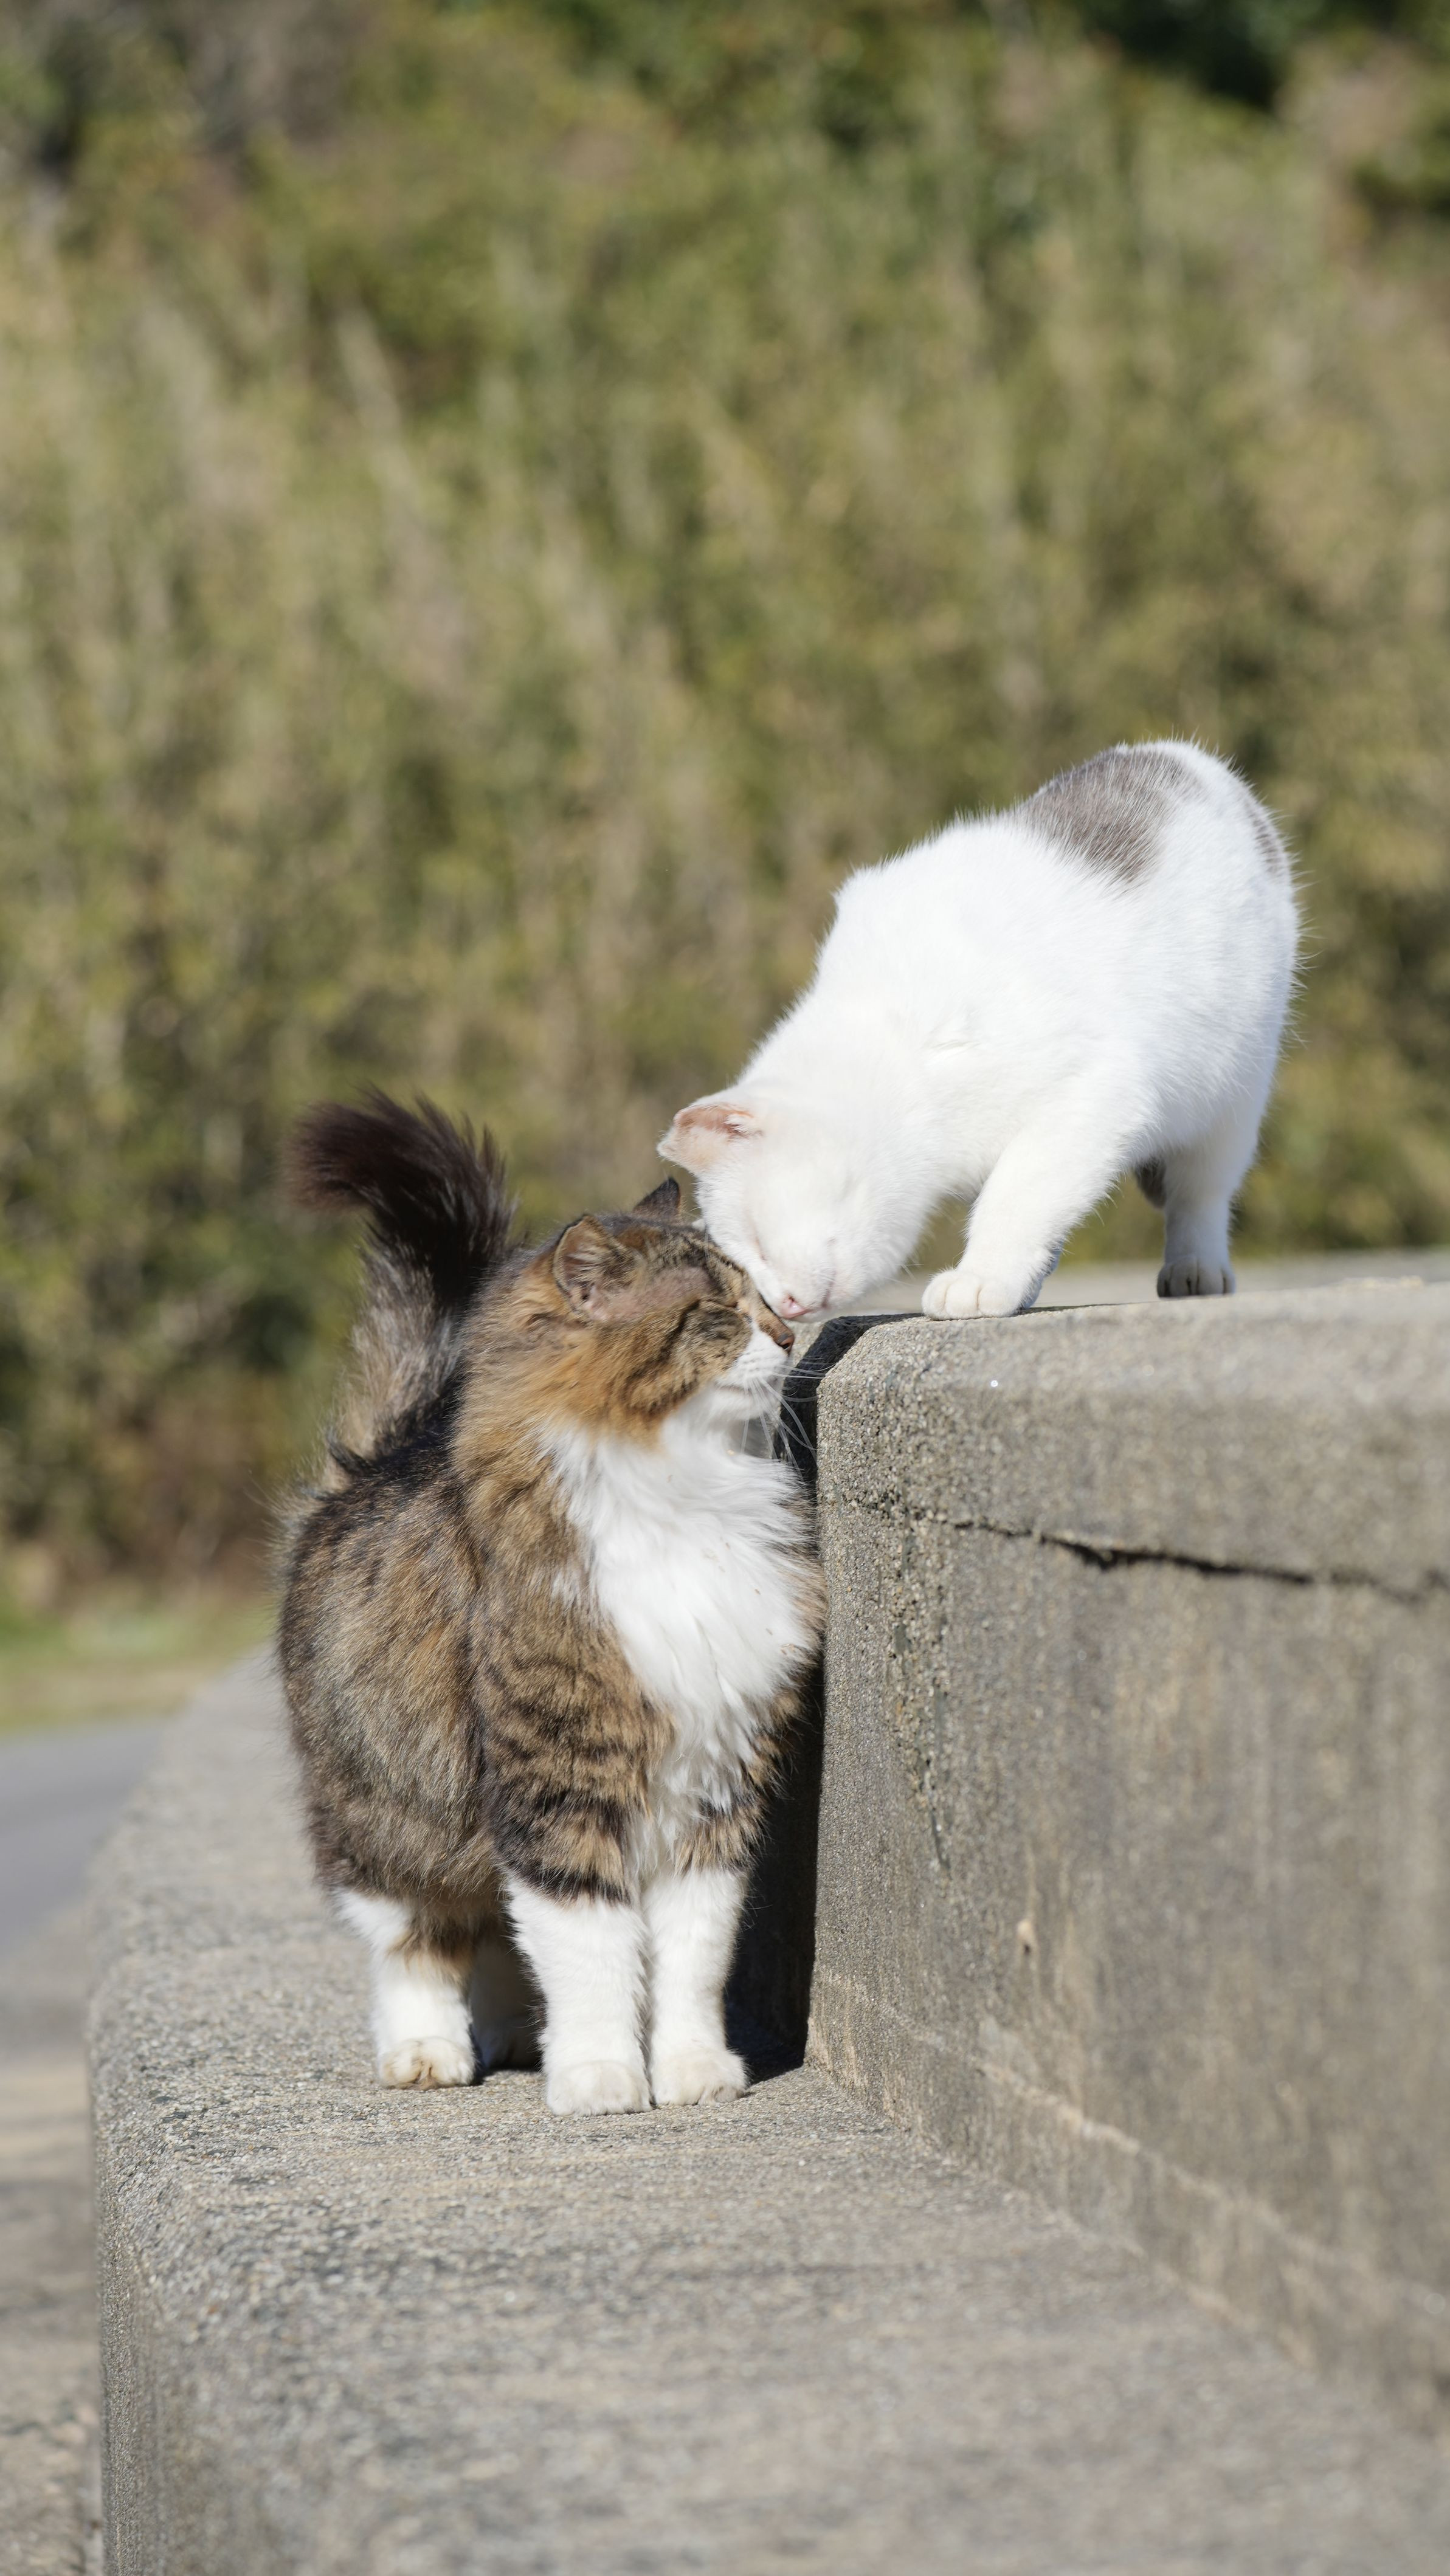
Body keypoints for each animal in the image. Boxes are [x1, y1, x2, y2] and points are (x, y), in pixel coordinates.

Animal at [279, 1093, 822, 2115]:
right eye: (716, 1312)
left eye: (762, 1299)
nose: (787, 1336)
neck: (679, 1493)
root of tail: (379, 1459)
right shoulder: (558, 1782)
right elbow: (591, 1949)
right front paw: (602, 2075)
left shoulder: (714, 1787)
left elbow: (690, 1958)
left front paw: (691, 2071)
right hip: (388, 1814)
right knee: (418, 1943)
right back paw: (430, 2051)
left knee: (495, 1932)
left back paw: (515, 2034)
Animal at [660, 742, 1298, 1320]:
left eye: (757, 1238)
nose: (784, 1307)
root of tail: (1192, 759)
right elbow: (1035, 1208)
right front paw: (1017, 1281)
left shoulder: (1094, 1094)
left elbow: (1014, 1199)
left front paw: (981, 1279)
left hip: (1233, 1093)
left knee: (1200, 1194)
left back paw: (1196, 1270)